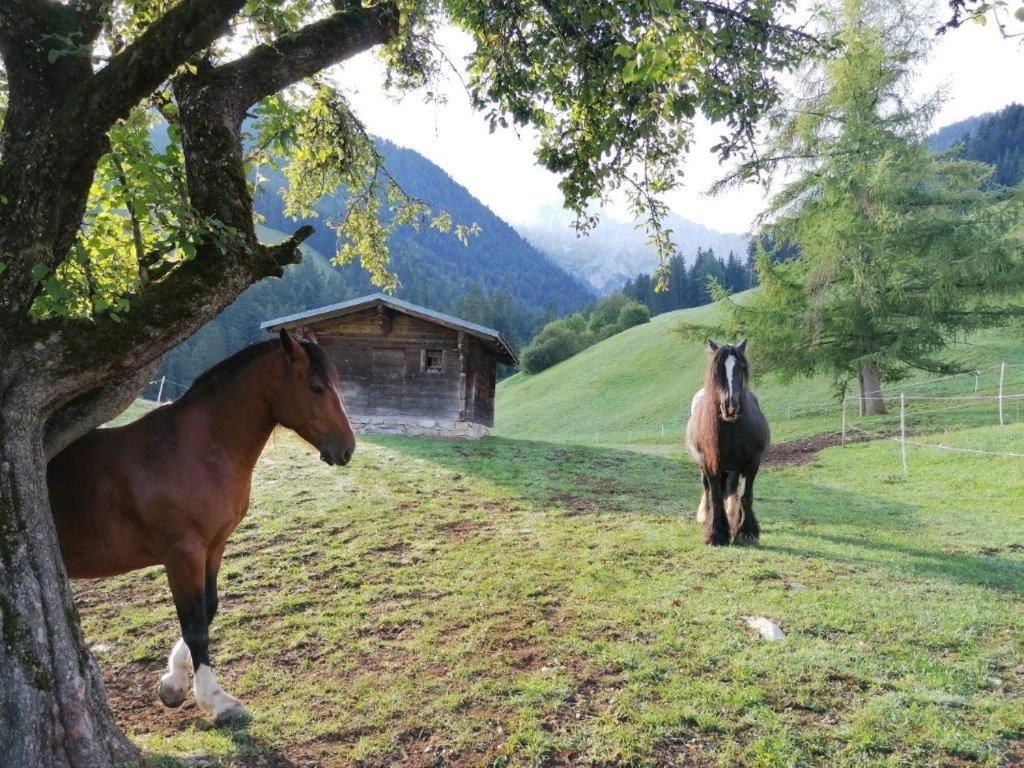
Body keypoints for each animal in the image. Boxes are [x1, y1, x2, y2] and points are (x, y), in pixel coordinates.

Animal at [47, 330, 356, 724]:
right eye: (316, 388)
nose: (347, 449)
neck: (190, 451)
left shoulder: (213, 547)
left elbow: (208, 609)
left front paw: (173, 683)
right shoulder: (184, 555)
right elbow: (195, 625)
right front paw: (216, 700)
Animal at [685, 339, 770, 547]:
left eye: (741, 367)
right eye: (717, 369)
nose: (730, 406)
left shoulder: (752, 464)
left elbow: (746, 496)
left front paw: (746, 532)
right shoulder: (709, 463)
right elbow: (715, 496)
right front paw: (715, 533)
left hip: (734, 467)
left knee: (731, 489)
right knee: (708, 488)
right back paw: (705, 516)